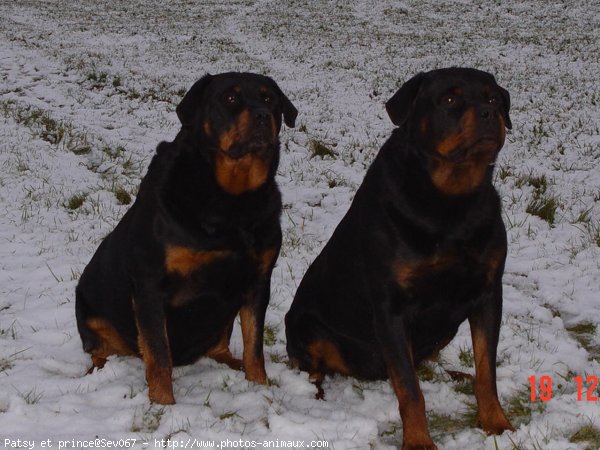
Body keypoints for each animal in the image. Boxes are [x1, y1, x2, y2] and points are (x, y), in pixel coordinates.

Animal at [76, 71, 296, 404]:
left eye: (269, 98)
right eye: (230, 98)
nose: (262, 115)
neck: (232, 200)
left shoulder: (259, 279)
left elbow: (254, 344)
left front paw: (259, 386)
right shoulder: (150, 284)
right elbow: (158, 353)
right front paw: (163, 403)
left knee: (221, 346)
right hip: (88, 304)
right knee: (101, 348)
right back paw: (98, 370)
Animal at [286, 67, 516, 450]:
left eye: (493, 97)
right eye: (449, 99)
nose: (489, 113)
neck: (451, 202)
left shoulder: (488, 292)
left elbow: (487, 370)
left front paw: (496, 422)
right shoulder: (391, 307)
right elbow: (410, 390)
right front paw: (419, 441)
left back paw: (452, 374)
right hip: (306, 325)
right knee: (313, 365)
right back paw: (313, 393)